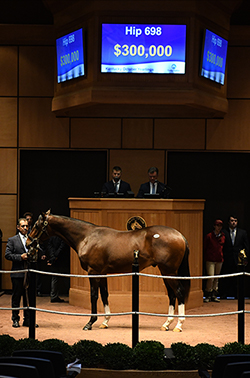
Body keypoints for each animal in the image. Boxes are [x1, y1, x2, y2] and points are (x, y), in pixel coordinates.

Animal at [26, 211, 190, 332]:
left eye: (36, 225)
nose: (28, 243)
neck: (86, 237)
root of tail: (180, 235)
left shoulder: (93, 272)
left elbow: (93, 296)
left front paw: (90, 323)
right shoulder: (102, 273)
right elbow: (104, 295)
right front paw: (105, 321)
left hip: (169, 271)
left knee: (179, 292)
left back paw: (179, 325)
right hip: (165, 272)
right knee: (172, 295)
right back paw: (166, 324)